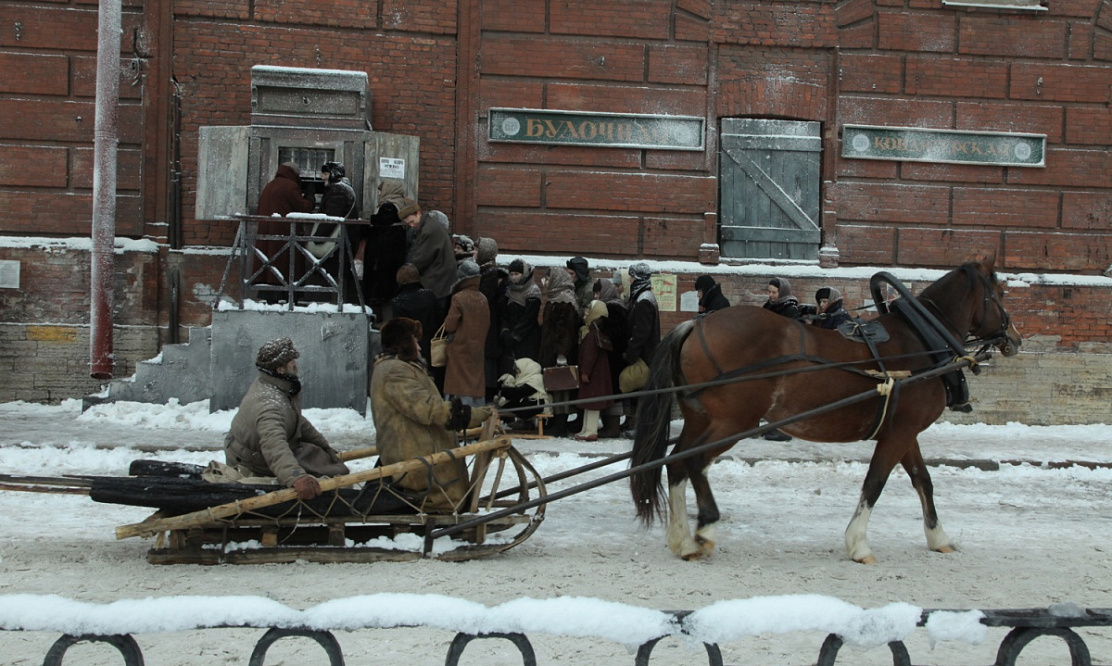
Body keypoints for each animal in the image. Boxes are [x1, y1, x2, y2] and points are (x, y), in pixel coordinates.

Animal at [631, 259, 1018, 562]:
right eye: (999, 294)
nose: (1014, 337)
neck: (921, 340)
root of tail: (696, 324)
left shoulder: (904, 431)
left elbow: (923, 480)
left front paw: (938, 538)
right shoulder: (900, 433)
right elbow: (875, 482)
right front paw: (858, 543)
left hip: (701, 419)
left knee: (677, 464)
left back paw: (681, 541)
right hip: (734, 421)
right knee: (695, 462)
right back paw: (706, 527)